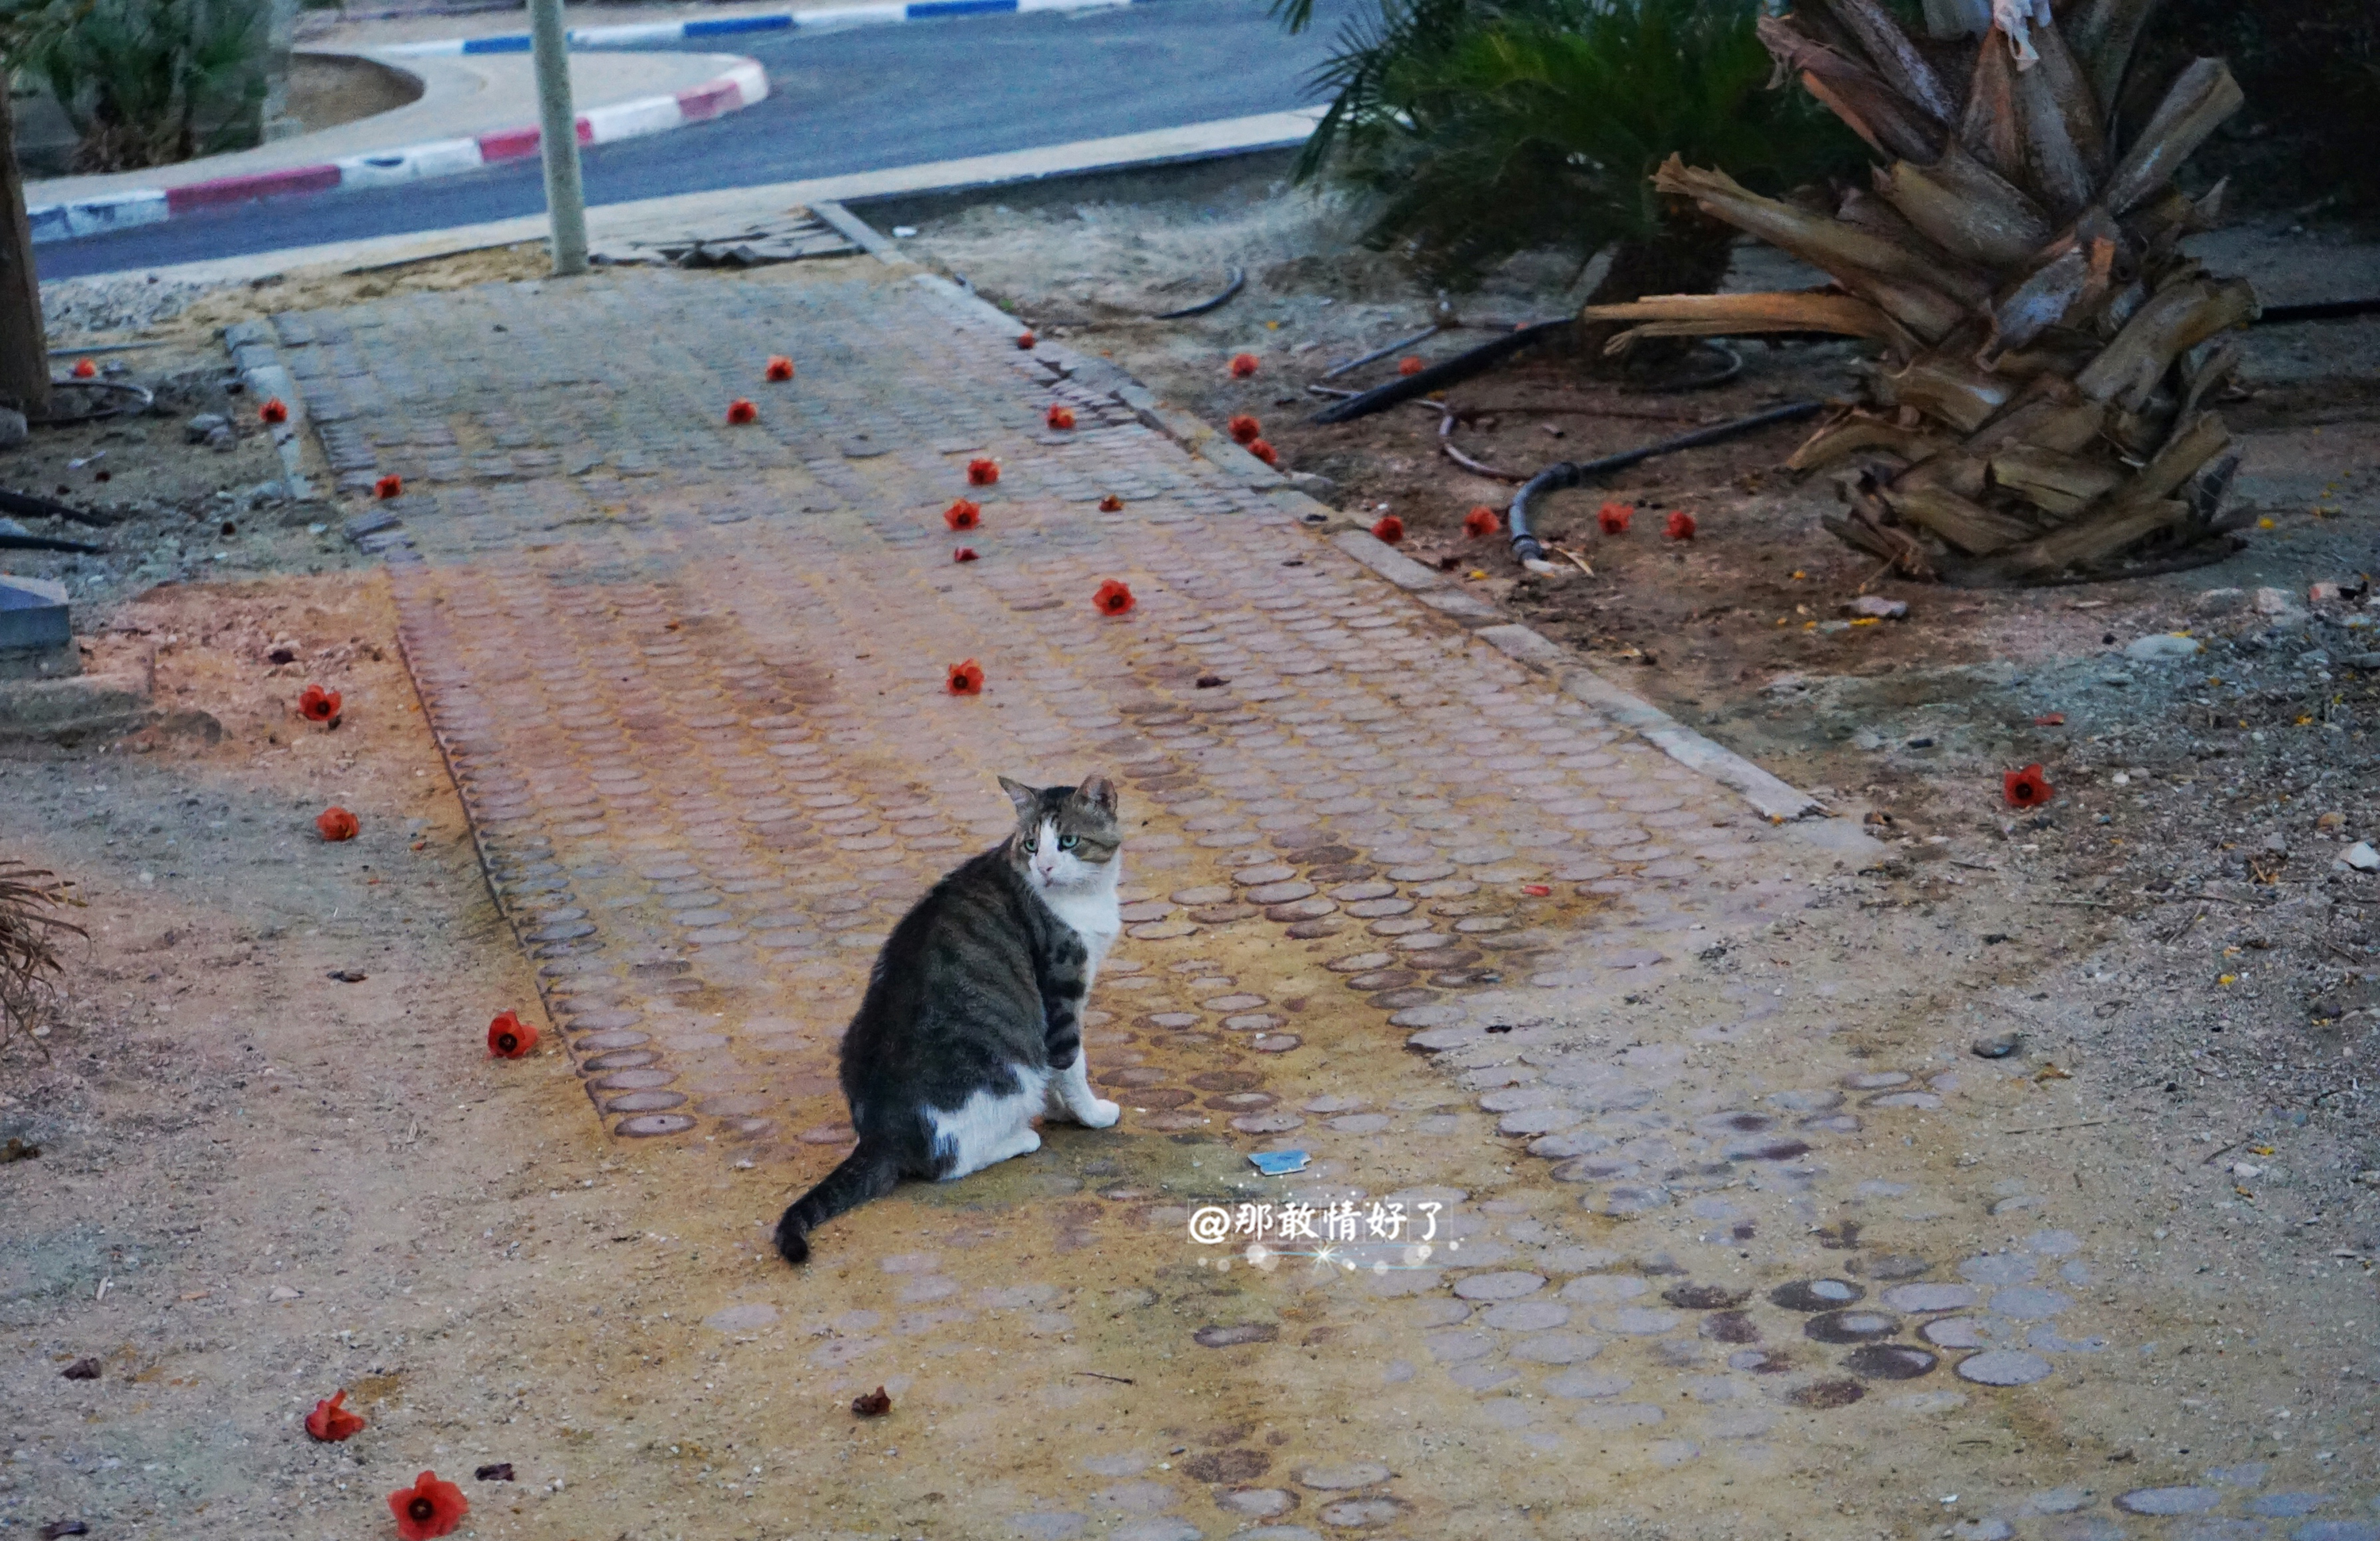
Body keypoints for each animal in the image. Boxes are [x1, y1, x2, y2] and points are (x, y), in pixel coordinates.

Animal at [771, 770, 1123, 1265]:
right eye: (1032, 845)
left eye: (1068, 841)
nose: (1046, 869)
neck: (1082, 898)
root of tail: (881, 1136)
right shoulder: (1061, 992)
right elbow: (1072, 1063)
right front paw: (1089, 1114)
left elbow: (1057, 1071)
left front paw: (1059, 1110)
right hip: (1003, 1076)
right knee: (949, 1163)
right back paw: (1018, 1139)